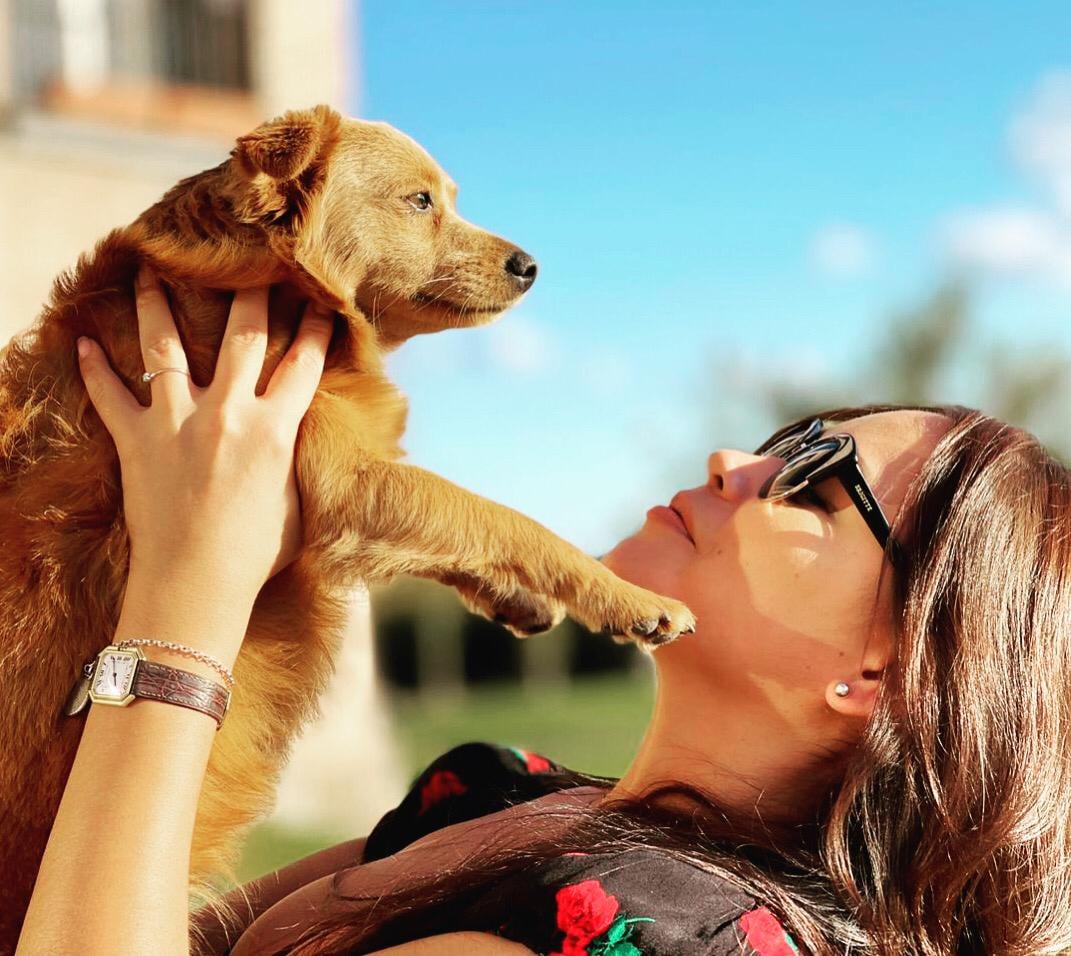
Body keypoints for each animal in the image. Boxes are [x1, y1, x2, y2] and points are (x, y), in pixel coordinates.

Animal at [0, 104, 694, 946]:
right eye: (420, 201)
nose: (530, 264)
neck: (279, 282)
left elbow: (458, 531)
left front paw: (520, 600)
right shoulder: (346, 479)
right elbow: (498, 517)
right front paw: (627, 597)